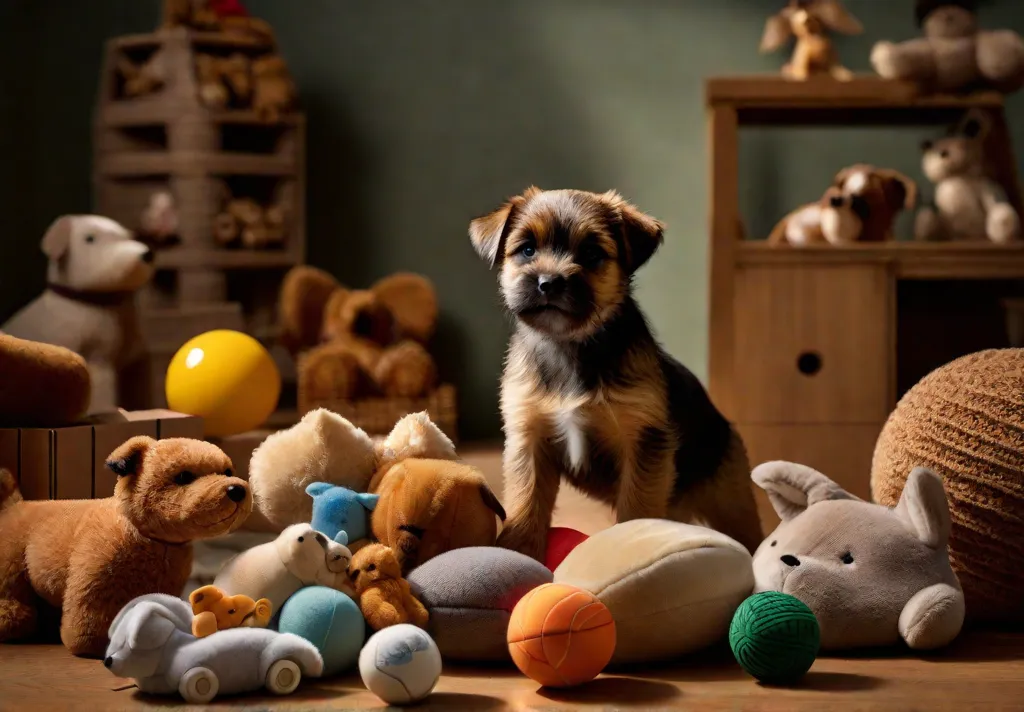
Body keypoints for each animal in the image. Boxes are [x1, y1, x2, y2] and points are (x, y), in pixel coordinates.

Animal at [468, 188, 765, 561]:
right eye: (527, 250)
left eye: (592, 254)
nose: (548, 283)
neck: (572, 344)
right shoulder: (529, 439)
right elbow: (526, 504)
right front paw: (518, 554)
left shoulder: (642, 443)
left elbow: (636, 508)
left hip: (729, 499)